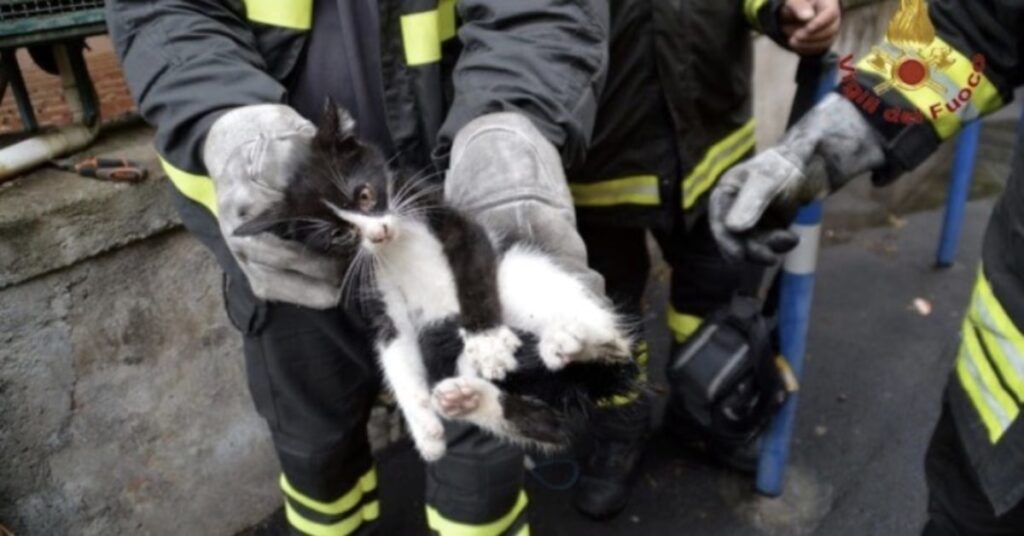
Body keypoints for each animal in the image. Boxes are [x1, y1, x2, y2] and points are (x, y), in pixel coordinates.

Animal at [238, 101, 634, 461]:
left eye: (364, 195)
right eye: (338, 235)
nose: (378, 233)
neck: (397, 245)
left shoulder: (454, 222)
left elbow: (474, 276)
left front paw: (487, 340)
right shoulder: (376, 293)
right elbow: (394, 349)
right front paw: (424, 428)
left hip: (523, 270)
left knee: (608, 339)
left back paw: (569, 341)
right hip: (453, 347)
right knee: (555, 426)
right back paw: (470, 399)